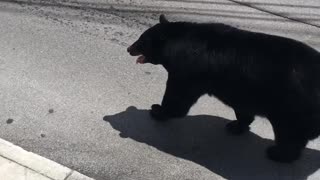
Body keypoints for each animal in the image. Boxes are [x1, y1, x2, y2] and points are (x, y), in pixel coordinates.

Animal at [127, 14, 320, 162]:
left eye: (141, 41)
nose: (129, 48)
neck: (177, 43)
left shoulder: (187, 71)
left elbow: (178, 97)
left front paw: (157, 110)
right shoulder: (241, 89)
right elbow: (243, 109)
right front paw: (236, 126)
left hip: (291, 106)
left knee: (290, 133)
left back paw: (278, 154)